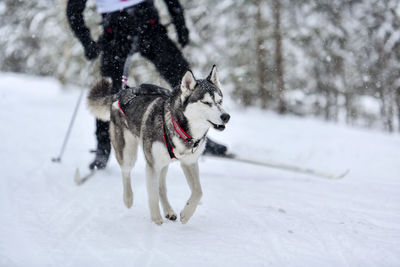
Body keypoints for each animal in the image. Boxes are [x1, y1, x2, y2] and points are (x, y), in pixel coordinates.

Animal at [88, 66, 230, 225]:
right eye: (205, 102)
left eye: (220, 101)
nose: (226, 116)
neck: (179, 128)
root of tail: (121, 93)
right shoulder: (152, 165)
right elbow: (153, 195)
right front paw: (157, 221)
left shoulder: (189, 162)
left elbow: (198, 191)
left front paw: (186, 214)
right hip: (128, 153)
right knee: (126, 172)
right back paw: (128, 198)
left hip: (163, 163)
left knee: (161, 186)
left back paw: (168, 211)